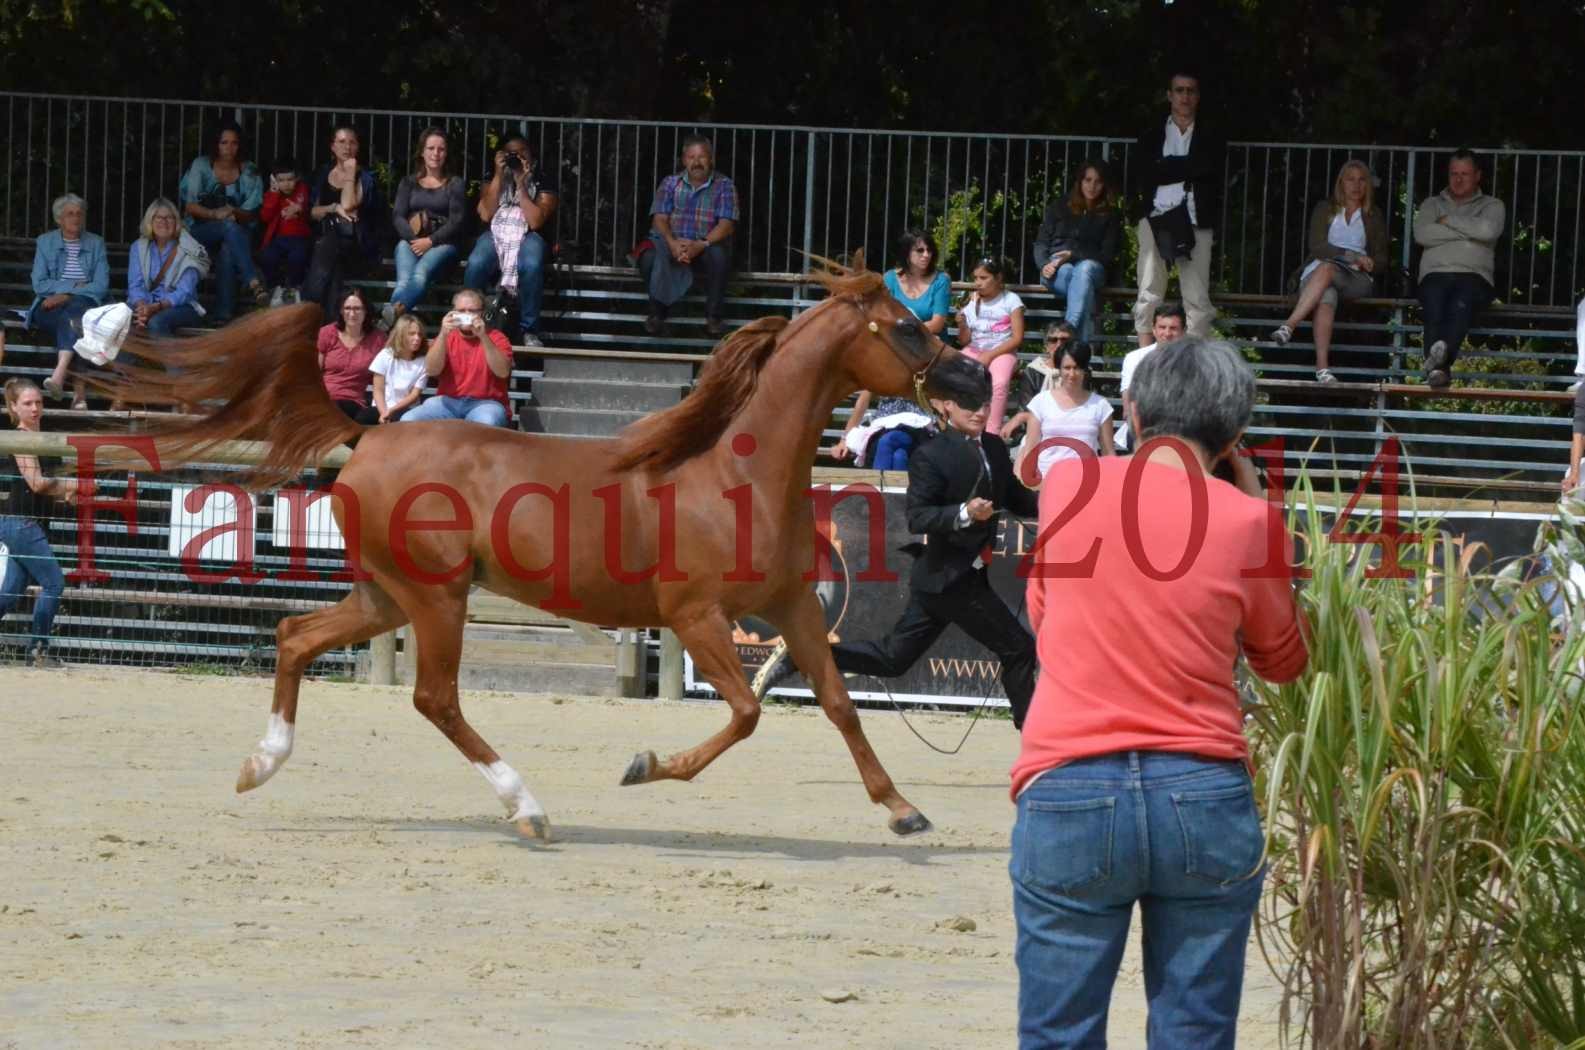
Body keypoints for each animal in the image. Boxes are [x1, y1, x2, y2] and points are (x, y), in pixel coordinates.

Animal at [102, 263, 976, 837]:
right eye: (905, 327)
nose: (966, 380)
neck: (735, 472)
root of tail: (367, 435)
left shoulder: (791, 607)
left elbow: (836, 702)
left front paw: (903, 810)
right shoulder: (695, 618)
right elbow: (747, 712)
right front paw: (643, 765)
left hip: (386, 594)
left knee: (294, 637)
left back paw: (260, 766)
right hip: (436, 598)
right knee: (435, 699)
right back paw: (528, 808)